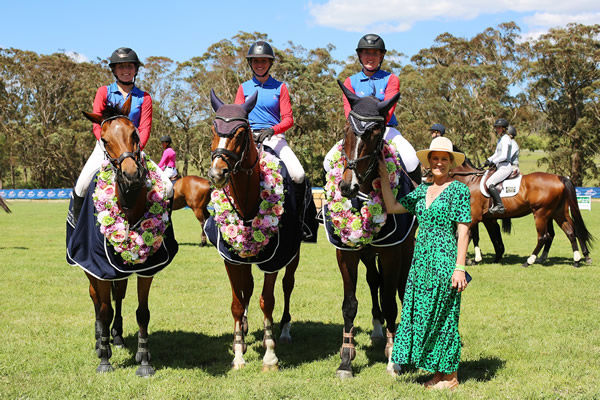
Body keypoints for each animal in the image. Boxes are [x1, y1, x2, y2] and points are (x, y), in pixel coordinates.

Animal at [67, 97, 178, 376]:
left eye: (135, 134)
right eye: (104, 140)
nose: (131, 175)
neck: (128, 204)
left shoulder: (147, 268)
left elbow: (142, 312)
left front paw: (144, 359)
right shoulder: (99, 267)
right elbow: (103, 309)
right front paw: (104, 359)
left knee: (118, 296)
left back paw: (116, 336)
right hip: (89, 267)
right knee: (97, 301)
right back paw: (101, 340)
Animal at [204, 90, 304, 372]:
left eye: (240, 132)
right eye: (214, 128)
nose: (217, 173)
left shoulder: (275, 259)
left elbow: (267, 301)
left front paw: (270, 355)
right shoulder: (230, 258)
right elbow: (237, 303)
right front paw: (238, 351)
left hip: (294, 253)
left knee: (288, 285)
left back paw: (285, 330)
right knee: (247, 288)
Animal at [324, 82, 418, 378]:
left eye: (376, 133)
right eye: (347, 129)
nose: (346, 187)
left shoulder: (392, 252)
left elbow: (390, 300)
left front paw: (394, 357)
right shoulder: (346, 253)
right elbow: (350, 304)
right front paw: (346, 359)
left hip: (405, 250)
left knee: (399, 287)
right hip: (366, 253)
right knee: (374, 281)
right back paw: (378, 330)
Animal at [452, 161, 592, 268]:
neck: (470, 180)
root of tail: (560, 178)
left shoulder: (475, 217)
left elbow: (465, 236)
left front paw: (469, 259)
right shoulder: (486, 219)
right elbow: (487, 236)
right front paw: (492, 257)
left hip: (541, 214)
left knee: (544, 236)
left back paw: (529, 261)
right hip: (558, 213)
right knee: (571, 232)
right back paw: (577, 260)